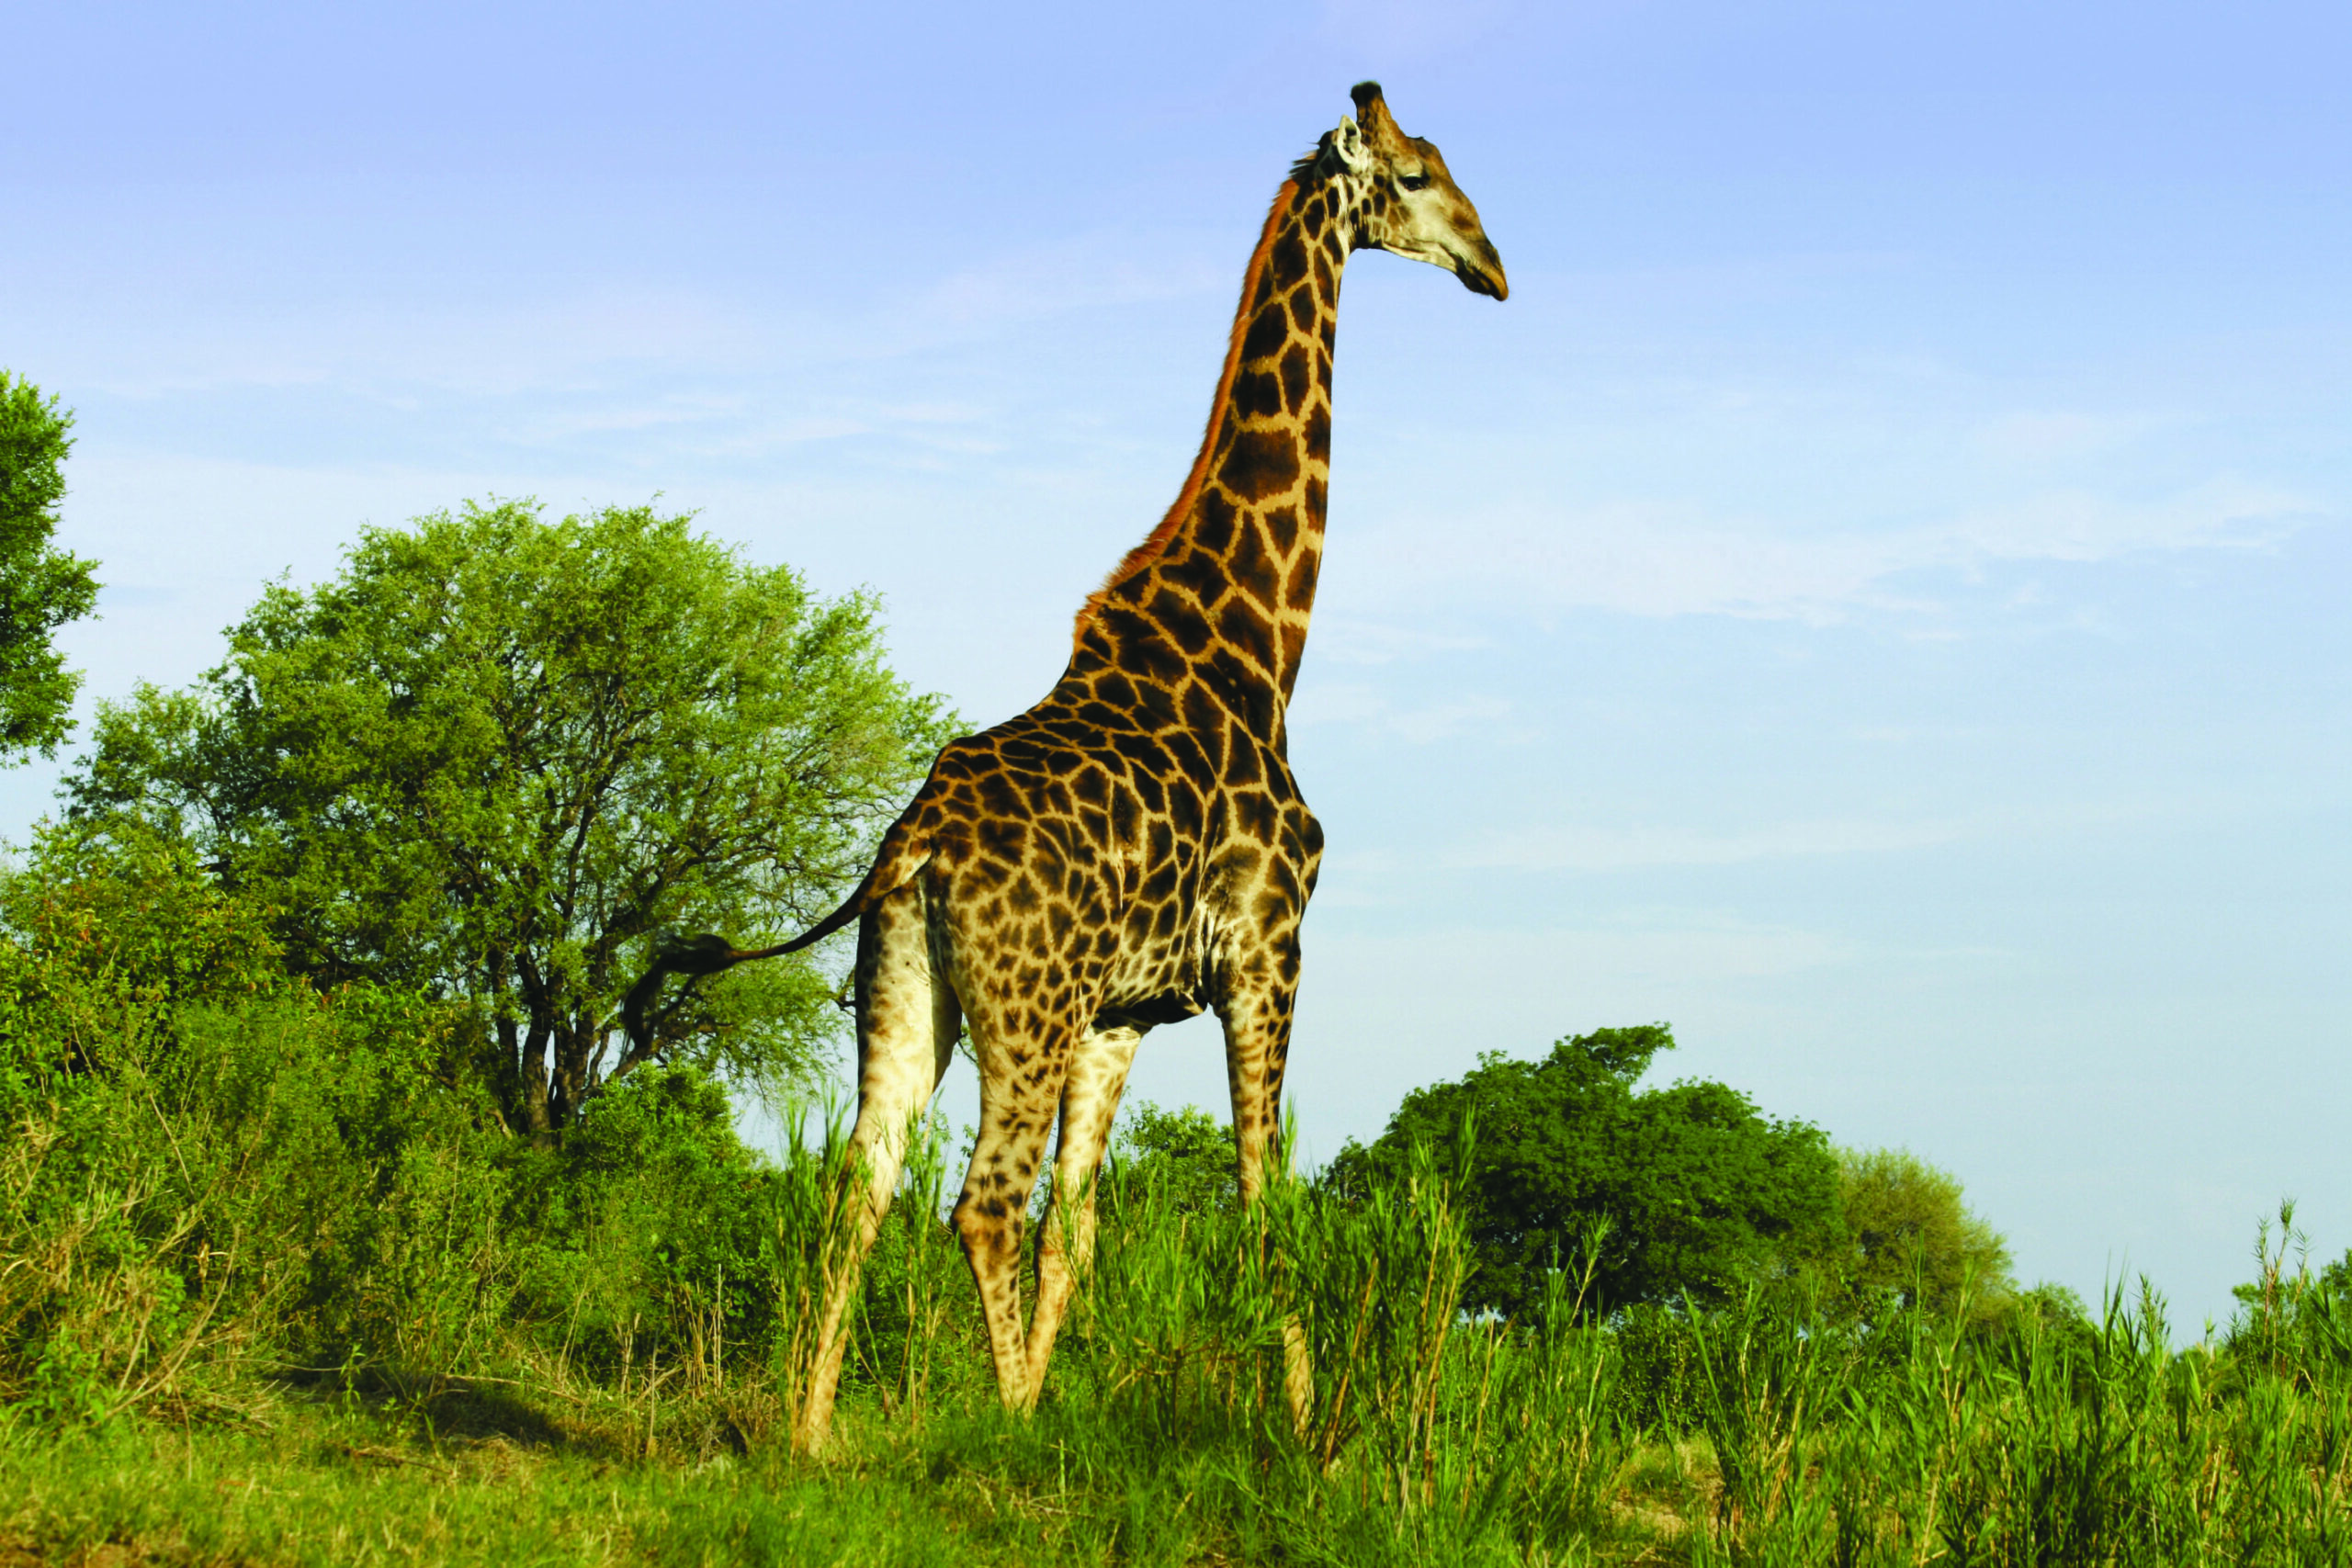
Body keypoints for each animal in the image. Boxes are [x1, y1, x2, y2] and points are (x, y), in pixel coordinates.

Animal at [624, 81, 1505, 1449]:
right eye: (1416, 174)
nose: (1491, 266)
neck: (1258, 647)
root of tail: (914, 843)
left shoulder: (1124, 1011)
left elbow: (1077, 1230)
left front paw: (1044, 1395)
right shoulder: (1267, 949)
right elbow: (1259, 1201)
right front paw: (1303, 1436)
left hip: (912, 991)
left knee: (861, 1185)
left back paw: (813, 1435)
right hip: (1022, 1009)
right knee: (976, 1198)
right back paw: (984, 1433)